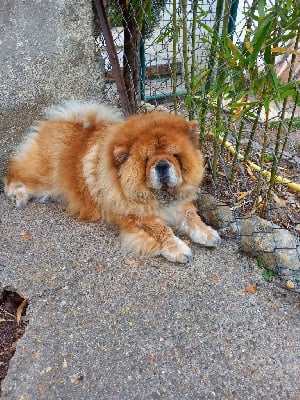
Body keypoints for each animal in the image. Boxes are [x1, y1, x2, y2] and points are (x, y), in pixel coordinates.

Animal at [4, 101, 220, 262]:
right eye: (147, 159)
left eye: (175, 155)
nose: (162, 165)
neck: (160, 196)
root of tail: (61, 120)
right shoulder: (136, 214)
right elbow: (162, 229)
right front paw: (179, 250)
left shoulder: (180, 203)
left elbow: (192, 217)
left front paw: (208, 234)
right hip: (42, 177)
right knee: (13, 176)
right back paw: (18, 196)